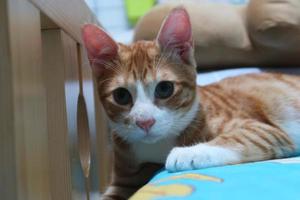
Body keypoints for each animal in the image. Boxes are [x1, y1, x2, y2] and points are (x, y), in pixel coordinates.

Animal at [81, 7, 300, 199]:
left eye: (164, 88)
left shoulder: (265, 130)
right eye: (121, 96)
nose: (145, 122)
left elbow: (242, 137)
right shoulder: (123, 181)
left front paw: (188, 153)